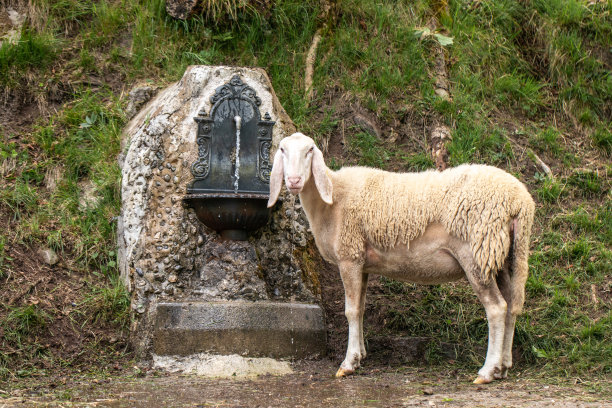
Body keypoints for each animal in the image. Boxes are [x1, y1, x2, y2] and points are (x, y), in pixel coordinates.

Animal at [268, 132, 536, 384]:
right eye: (282, 150)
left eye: (310, 150)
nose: (293, 181)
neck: (331, 200)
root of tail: (521, 202)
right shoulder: (363, 264)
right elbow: (361, 309)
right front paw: (361, 354)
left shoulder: (349, 256)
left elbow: (351, 311)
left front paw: (349, 363)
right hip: (505, 257)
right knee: (512, 306)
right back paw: (503, 366)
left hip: (477, 253)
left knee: (497, 308)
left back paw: (487, 371)